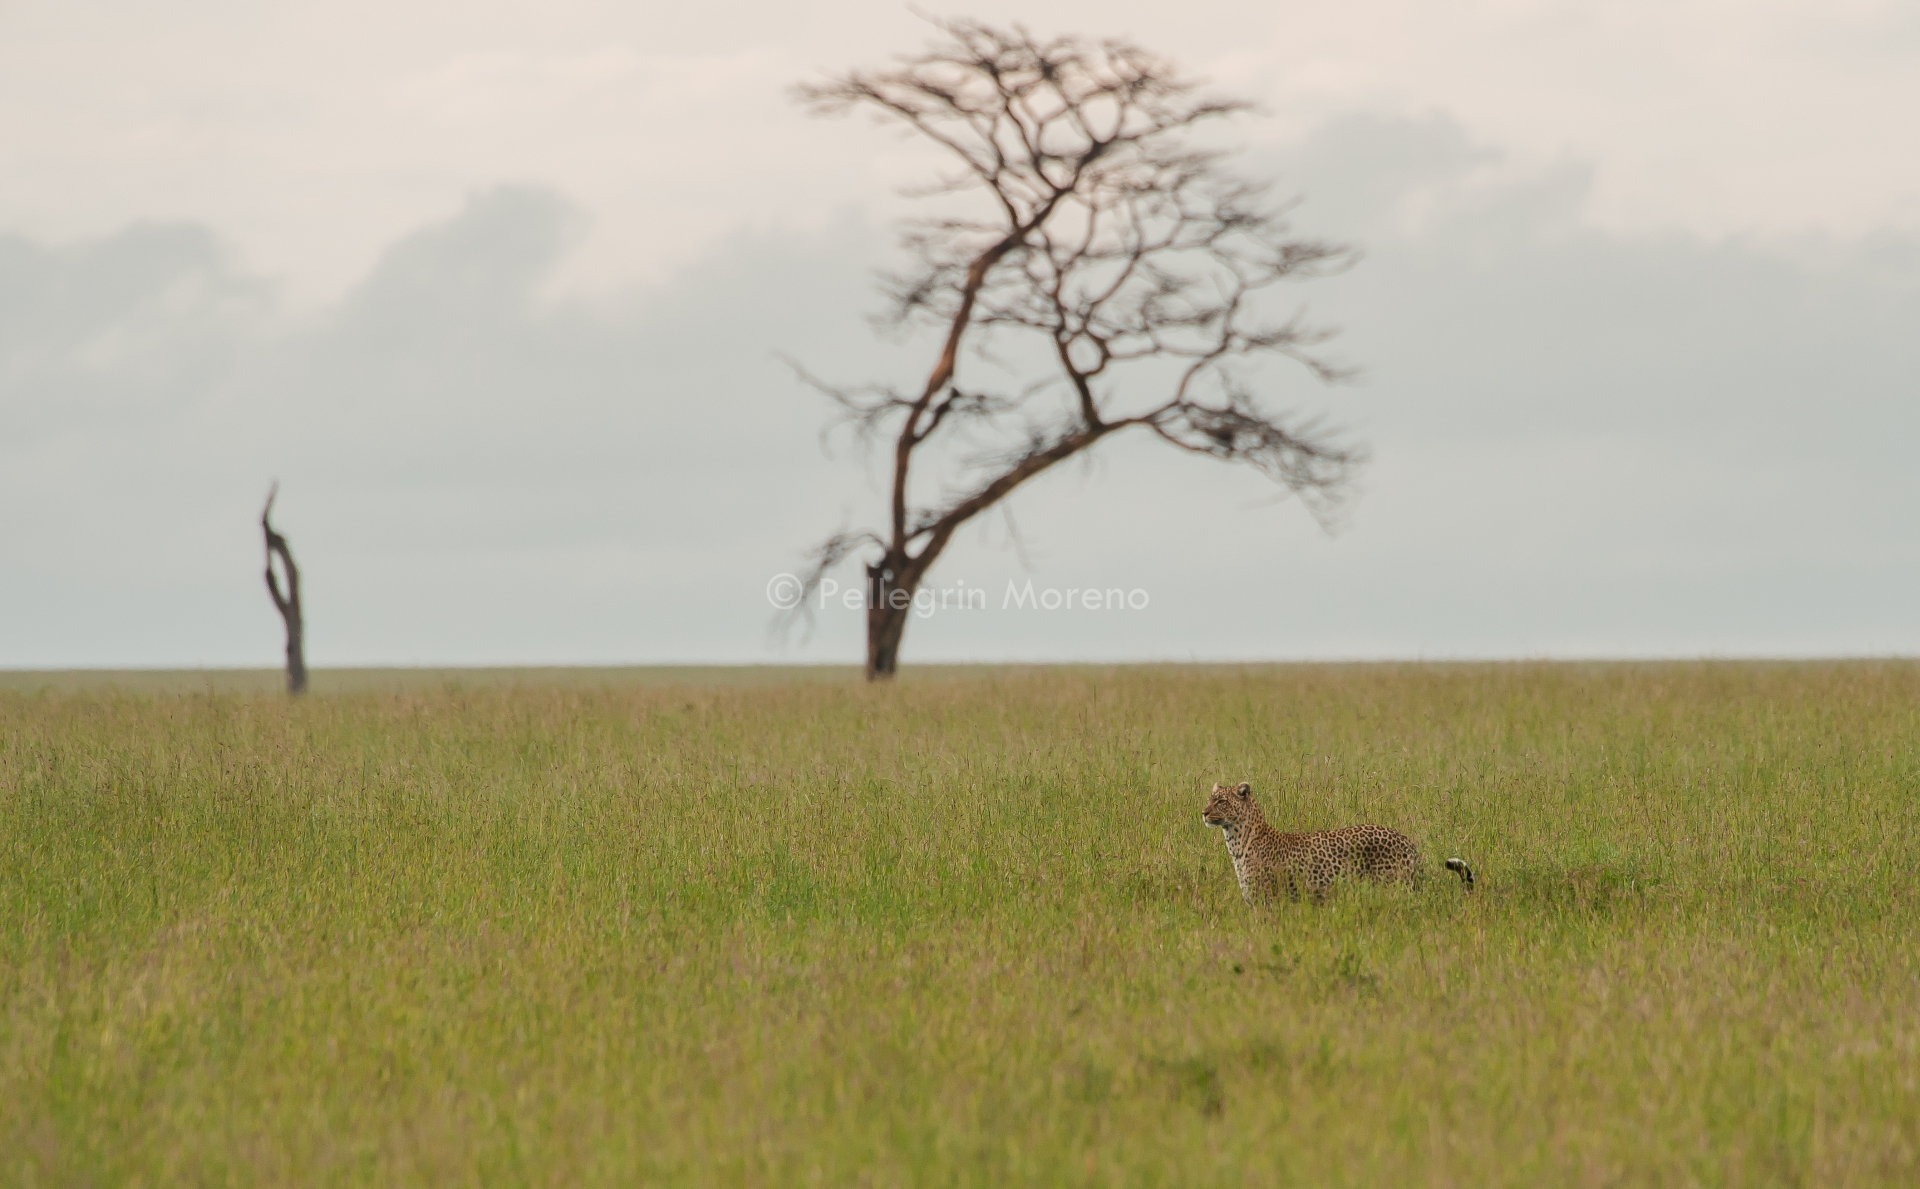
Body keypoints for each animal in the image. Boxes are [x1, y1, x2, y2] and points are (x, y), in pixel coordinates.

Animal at [1201, 781, 1475, 905]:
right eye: (1209, 799)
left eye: (1221, 802)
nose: (1203, 812)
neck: (1237, 843)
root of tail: (1406, 841)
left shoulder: (1268, 904)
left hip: (1395, 888)